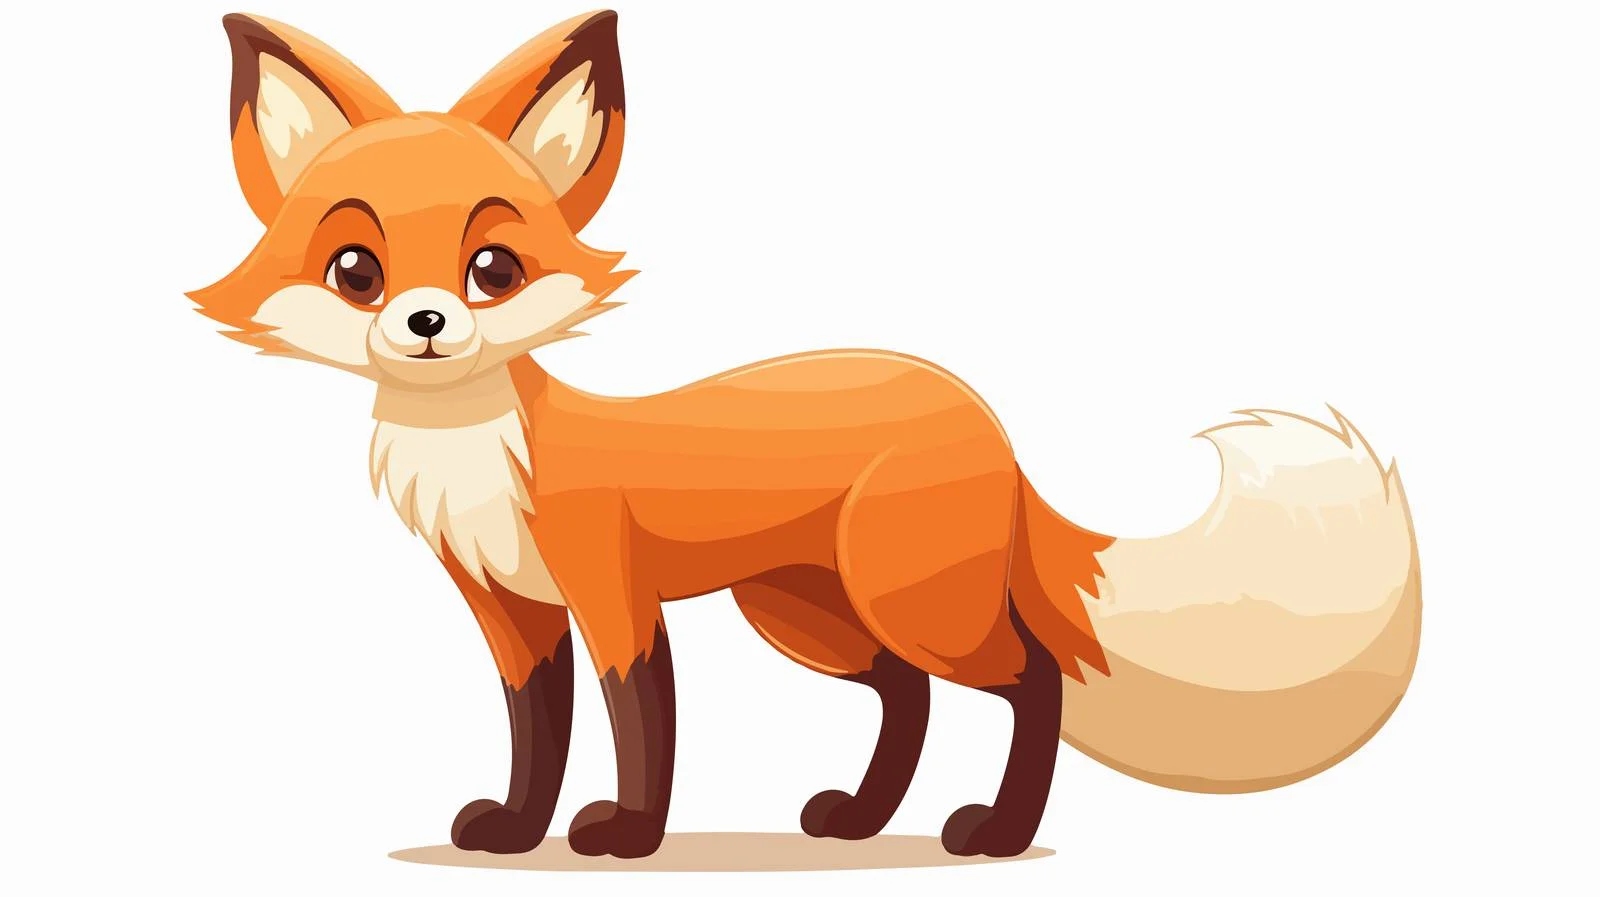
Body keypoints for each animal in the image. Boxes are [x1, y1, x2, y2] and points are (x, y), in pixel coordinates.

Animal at [190, 11, 1422, 860]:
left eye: (493, 266)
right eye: (356, 269)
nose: (428, 323)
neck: (483, 464)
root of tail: (981, 411)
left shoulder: (612, 594)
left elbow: (642, 723)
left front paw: (627, 835)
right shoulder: (512, 613)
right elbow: (535, 733)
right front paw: (515, 828)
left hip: (910, 603)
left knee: (1031, 680)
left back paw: (995, 832)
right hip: (807, 614)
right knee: (907, 695)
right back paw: (863, 818)